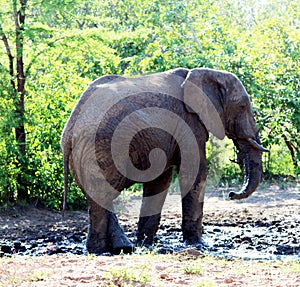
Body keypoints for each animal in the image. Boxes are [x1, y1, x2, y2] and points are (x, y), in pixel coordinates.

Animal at [61, 68, 270, 255]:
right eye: (242, 106)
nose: (231, 194)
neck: (206, 73)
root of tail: (69, 132)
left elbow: (160, 181)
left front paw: (146, 244)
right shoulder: (188, 122)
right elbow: (194, 173)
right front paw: (198, 244)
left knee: (98, 196)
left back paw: (122, 248)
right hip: (102, 146)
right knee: (102, 195)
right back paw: (99, 251)